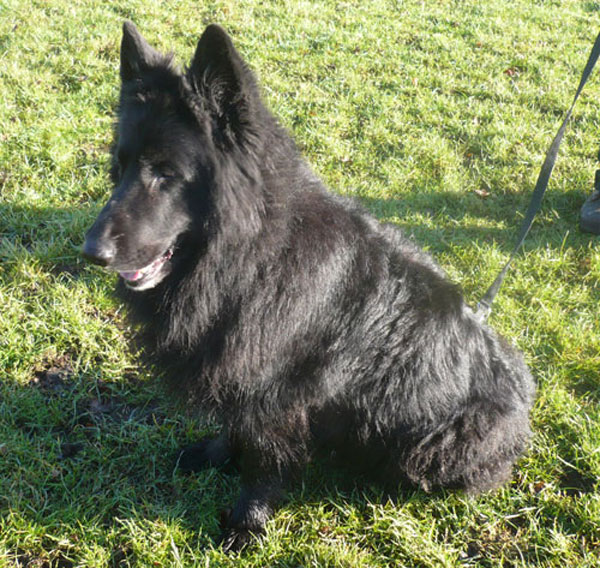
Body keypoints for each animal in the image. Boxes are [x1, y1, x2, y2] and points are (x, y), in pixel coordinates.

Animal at [83, 22, 536, 552]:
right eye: (121, 166)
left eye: (166, 173)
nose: (91, 252)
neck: (251, 253)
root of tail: (524, 398)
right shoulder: (242, 376)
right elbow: (232, 427)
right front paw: (214, 456)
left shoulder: (275, 396)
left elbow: (262, 462)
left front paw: (247, 523)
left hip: (437, 446)